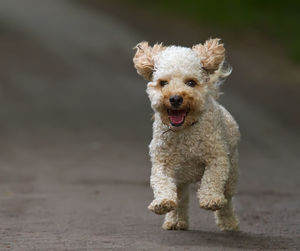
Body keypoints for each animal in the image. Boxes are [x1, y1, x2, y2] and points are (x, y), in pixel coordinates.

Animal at [132, 38, 240, 230]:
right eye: (163, 83)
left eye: (191, 83)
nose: (175, 98)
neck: (184, 131)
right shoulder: (162, 163)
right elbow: (161, 181)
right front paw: (162, 202)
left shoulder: (217, 157)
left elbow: (213, 177)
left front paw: (210, 199)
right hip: (181, 179)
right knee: (181, 198)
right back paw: (175, 220)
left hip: (232, 173)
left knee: (227, 199)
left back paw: (229, 222)